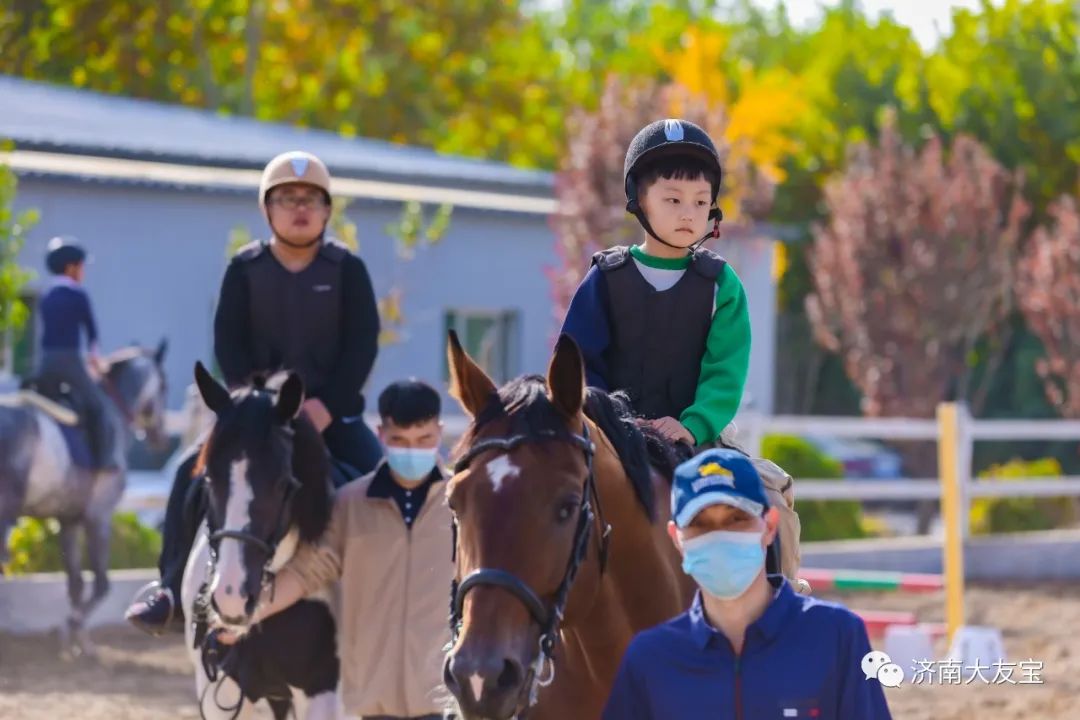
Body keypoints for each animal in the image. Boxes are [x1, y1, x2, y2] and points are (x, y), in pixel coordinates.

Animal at [0, 341, 168, 656]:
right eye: (164, 386)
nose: (160, 437)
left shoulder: (68, 520)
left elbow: (75, 583)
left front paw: (74, 640)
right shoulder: (98, 518)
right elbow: (101, 583)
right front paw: (75, 632)